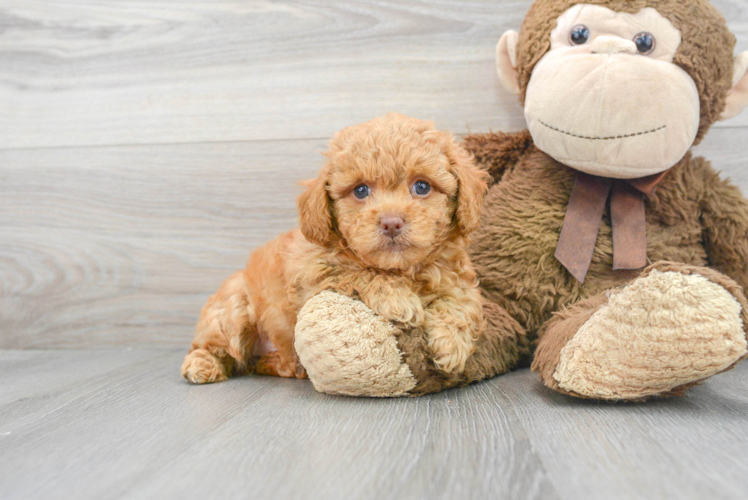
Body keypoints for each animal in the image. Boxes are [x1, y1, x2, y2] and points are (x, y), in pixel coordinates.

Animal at [181, 114, 490, 386]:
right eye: (361, 190)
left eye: (422, 186)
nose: (391, 222)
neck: (401, 268)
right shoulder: (313, 274)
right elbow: (359, 273)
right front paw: (398, 298)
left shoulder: (455, 276)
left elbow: (462, 301)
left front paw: (451, 344)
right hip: (232, 309)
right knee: (212, 345)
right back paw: (202, 365)